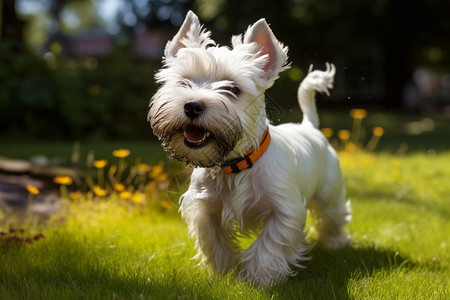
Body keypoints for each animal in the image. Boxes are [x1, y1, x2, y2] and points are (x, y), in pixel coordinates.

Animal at [149, 10, 352, 284]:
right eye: (184, 82)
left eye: (233, 89)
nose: (192, 105)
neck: (235, 165)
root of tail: (309, 126)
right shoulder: (205, 209)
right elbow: (215, 242)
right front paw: (222, 273)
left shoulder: (284, 211)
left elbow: (269, 246)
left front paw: (259, 280)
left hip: (329, 192)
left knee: (333, 217)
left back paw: (336, 243)